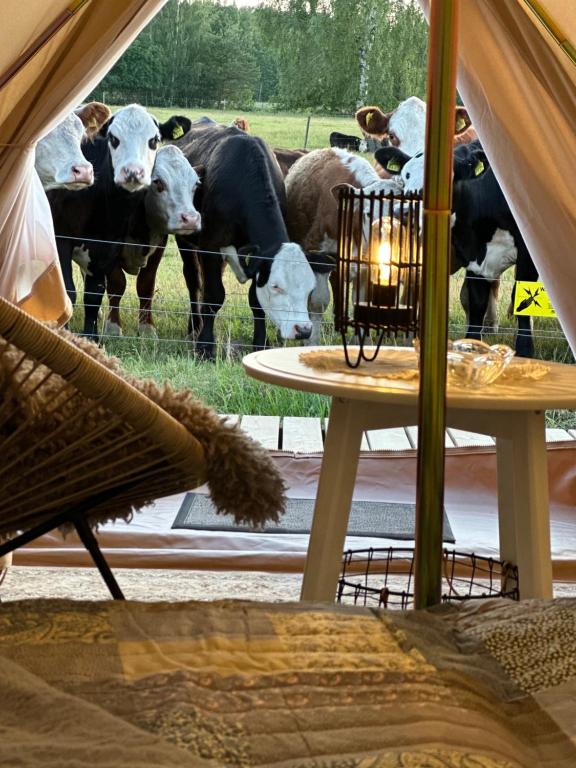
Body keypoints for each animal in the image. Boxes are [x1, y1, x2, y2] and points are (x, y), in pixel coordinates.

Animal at [47, 103, 191, 338]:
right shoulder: (61, 241)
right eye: (113, 139)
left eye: (154, 140)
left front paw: (93, 336)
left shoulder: (108, 246)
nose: (133, 172)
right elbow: (72, 291)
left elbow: (98, 294)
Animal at [171, 122, 330, 356]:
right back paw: (194, 327)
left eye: (310, 288)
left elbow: (256, 302)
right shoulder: (211, 247)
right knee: (194, 282)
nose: (302, 330)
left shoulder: (258, 257)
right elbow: (213, 296)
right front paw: (205, 347)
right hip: (186, 241)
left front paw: (260, 343)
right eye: (276, 286)